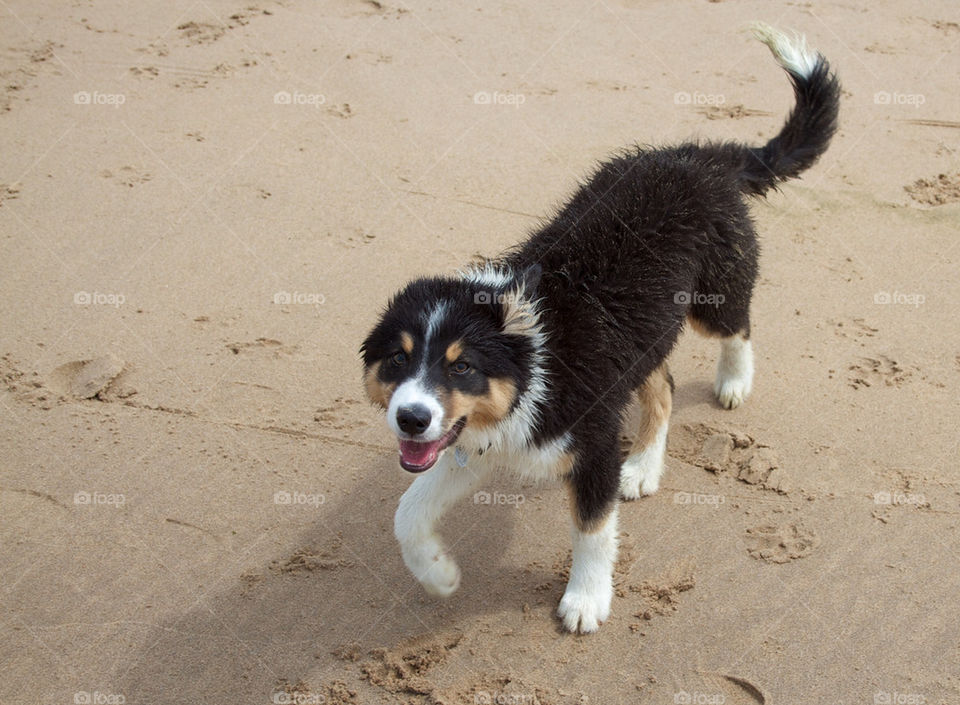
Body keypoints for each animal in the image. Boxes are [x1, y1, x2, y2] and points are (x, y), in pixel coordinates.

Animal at [360, 23, 840, 632]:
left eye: (462, 365)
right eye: (397, 359)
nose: (411, 418)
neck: (534, 358)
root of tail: (697, 156)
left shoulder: (589, 443)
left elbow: (591, 530)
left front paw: (586, 600)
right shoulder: (484, 438)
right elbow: (408, 509)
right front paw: (439, 575)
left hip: (712, 299)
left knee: (737, 329)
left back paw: (732, 383)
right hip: (642, 341)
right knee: (664, 387)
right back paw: (643, 467)